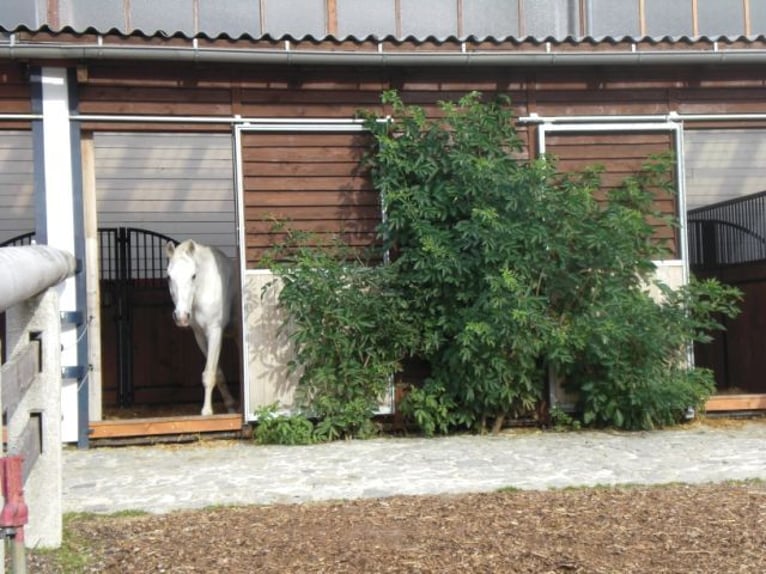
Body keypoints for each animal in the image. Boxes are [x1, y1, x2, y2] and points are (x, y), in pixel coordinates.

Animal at [166, 241, 238, 416]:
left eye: (193, 276)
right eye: (169, 276)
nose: (181, 317)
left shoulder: (215, 332)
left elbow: (209, 373)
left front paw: (206, 412)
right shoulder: (200, 335)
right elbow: (217, 372)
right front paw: (230, 405)